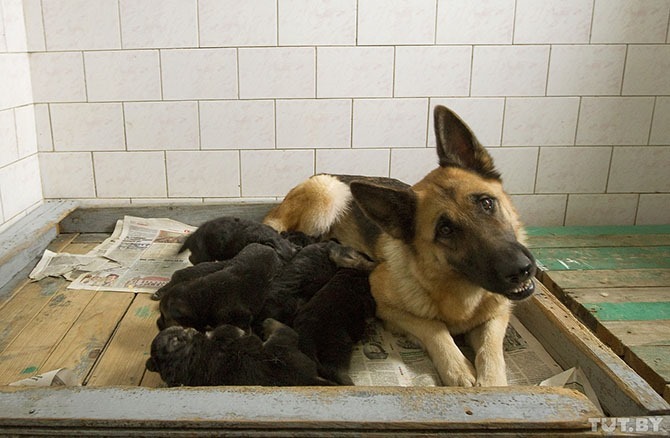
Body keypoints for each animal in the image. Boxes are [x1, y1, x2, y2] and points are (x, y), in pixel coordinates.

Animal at [148, 318, 336, 386]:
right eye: (177, 337)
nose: (186, 328)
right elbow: (229, 330)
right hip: (281, 344)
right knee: (283, 329)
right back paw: (268, 323)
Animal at [266, 106, 540, 386]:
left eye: (486, 203)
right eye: (445, 230)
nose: (520, 270)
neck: (460, 294)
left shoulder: (499, 314)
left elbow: (490, 351)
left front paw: (492, 383)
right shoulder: (388, 307)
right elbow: (435, 328)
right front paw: (457, 370)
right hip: (328, 192)